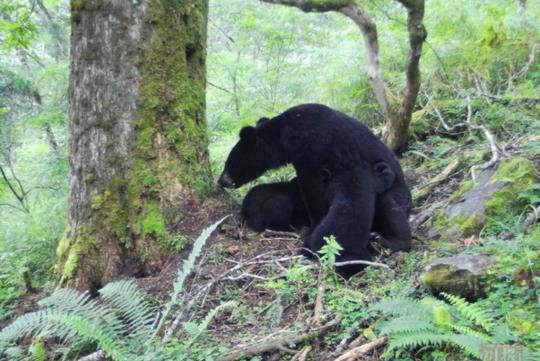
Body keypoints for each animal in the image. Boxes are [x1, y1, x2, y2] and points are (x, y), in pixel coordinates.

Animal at [217, 102, 412, 272]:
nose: (221, 181)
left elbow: (313, 193)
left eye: (228, 163)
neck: (291, 136)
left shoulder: (313, 154)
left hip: (397, 194)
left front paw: (311, 228)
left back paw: (387, 241)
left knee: (392, 210)